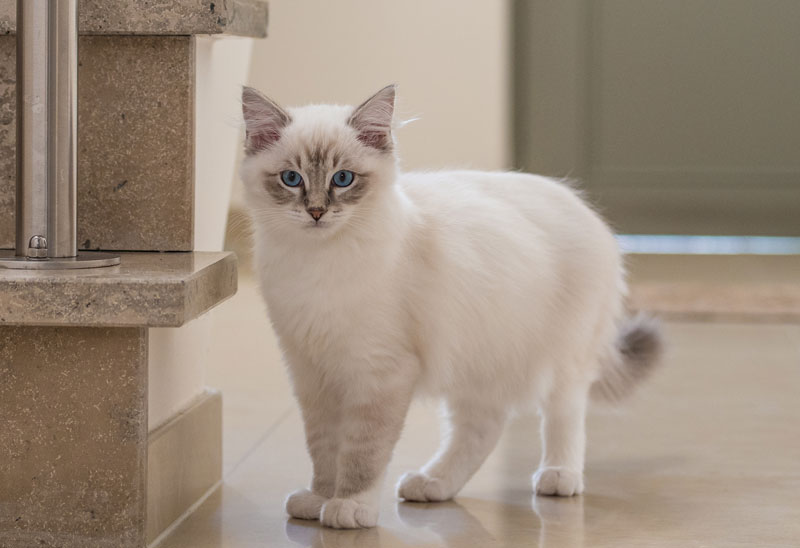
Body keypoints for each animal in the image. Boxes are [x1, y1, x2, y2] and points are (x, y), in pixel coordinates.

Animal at [239, 86, 664, 532]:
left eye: (343, 179)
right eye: (291, 179)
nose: (317, 212)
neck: (319, 265)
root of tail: (583, 205)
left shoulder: (378, 373)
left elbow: (361, 454)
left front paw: (349, 507)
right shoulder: (311, 373)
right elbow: (323, 450)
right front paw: (319, 499)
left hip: (560, 358)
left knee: (563, 414)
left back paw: (559, 476)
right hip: (476, 359)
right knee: (482, 428)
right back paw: (433, 483)